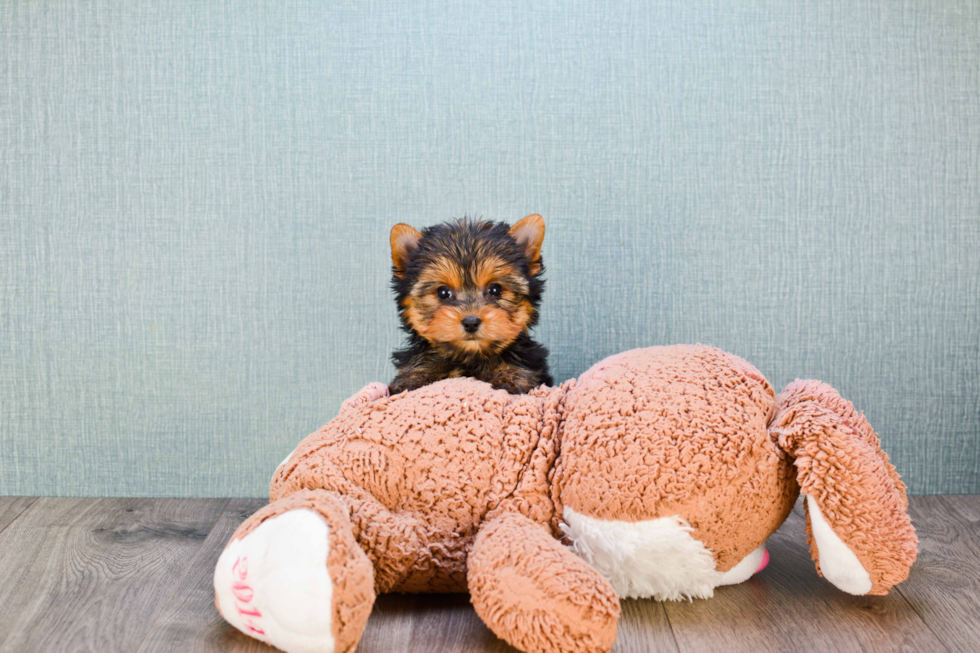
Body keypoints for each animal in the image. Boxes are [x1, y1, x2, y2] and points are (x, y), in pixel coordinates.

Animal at [388, 216, 552, 394]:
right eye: (443, 293)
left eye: (495, 290)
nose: (471, 322)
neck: (469, 358)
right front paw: (418, 376)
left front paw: (508, 376)